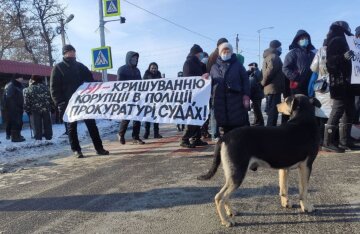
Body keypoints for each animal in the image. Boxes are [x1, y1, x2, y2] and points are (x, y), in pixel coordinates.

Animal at [200, 94, 320, 227]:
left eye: (285, 101)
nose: (277, 105)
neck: (303, 118)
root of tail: (224, 137)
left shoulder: (285, 168)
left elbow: (284, 188)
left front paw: (286, 203)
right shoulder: (306, 166)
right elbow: (303, 191)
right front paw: (306, 206)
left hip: (232, 174)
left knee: (224, 196)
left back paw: (231, 212)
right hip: (238, 174)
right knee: (219, 197)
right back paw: (226, 221)